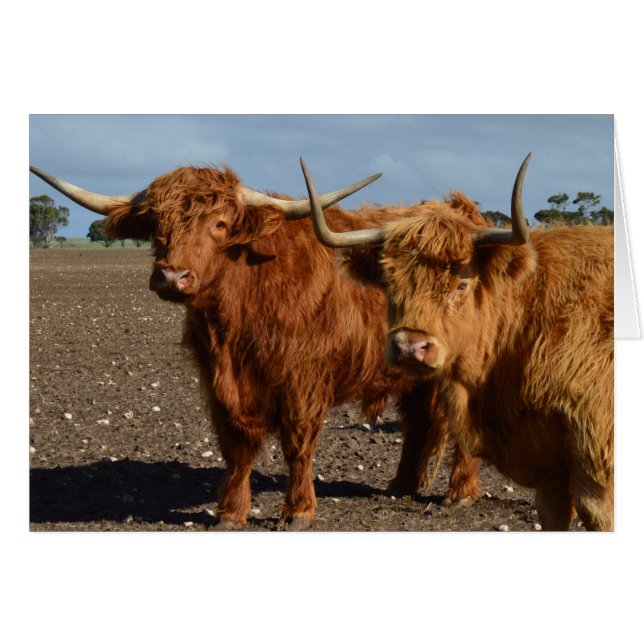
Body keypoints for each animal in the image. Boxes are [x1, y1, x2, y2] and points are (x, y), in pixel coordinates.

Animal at [30, 161, 482, 530]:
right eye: (158, 224)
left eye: (220, 224)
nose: (172, 276)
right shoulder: (218, 384)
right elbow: (237, 449)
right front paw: (231, 513)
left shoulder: (303, 382)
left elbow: (298, 445)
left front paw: (298, 511)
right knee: (419, 421)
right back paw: (401, 485)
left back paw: (460, 493)